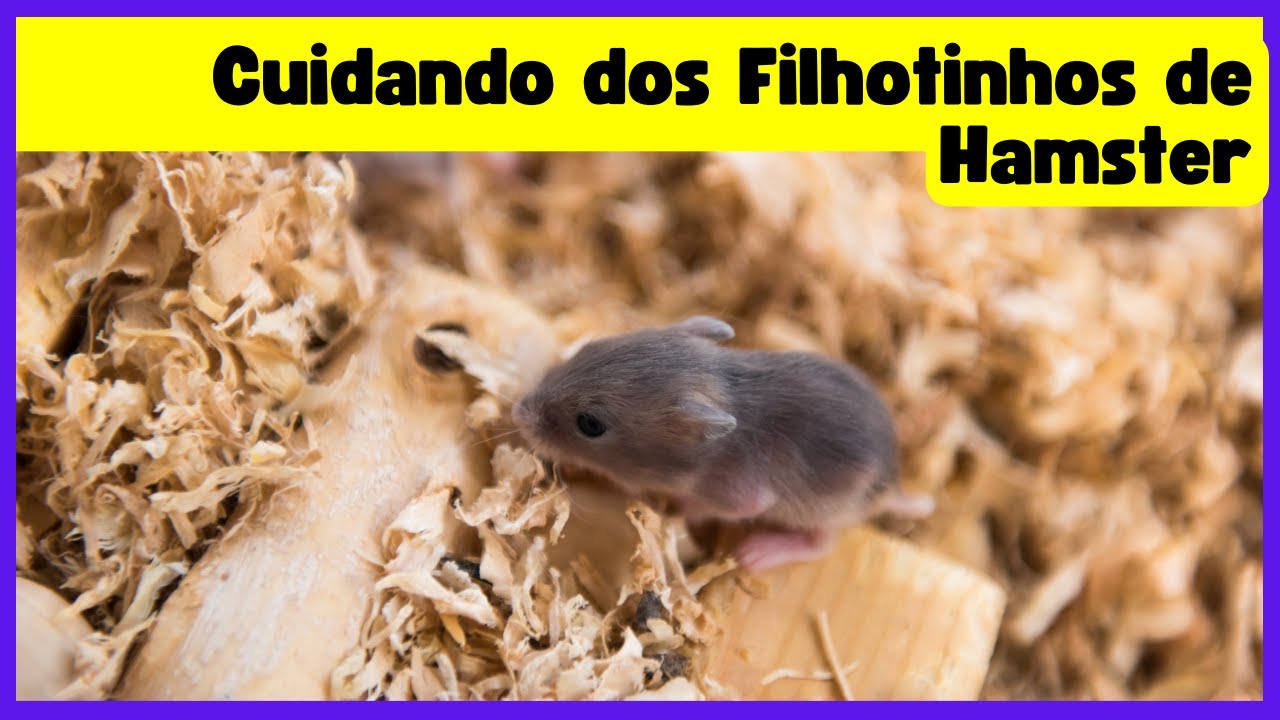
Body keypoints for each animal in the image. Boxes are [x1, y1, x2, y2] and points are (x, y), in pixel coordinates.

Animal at [512, 315, 934, 571]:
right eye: (588, 349)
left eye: (590, 424)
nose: (518, 413)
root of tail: (892, 488)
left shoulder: (741, 495)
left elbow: (709, 506)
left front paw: (678, 510)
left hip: (825, 511)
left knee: (821, 544)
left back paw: (756, 553)